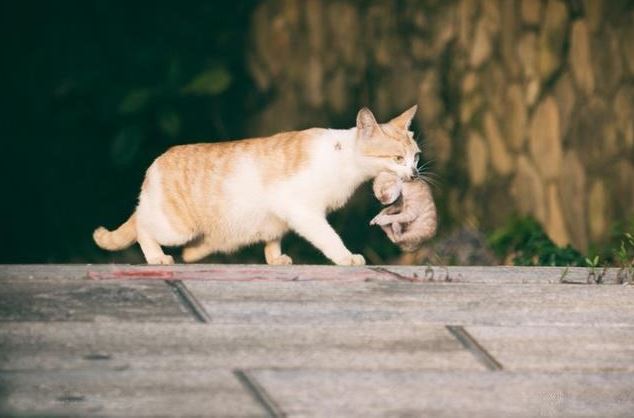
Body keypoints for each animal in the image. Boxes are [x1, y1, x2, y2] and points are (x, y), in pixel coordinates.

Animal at [94, 106, 420, 266]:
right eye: (397, 158)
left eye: (416, 156)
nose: (415, 173)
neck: (343, 159)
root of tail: (156, 163)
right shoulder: (302, 210)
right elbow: (329, 238)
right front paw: (346, 257)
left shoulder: (279, 216)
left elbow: (274, 237)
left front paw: (275, 259)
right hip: (175, 226)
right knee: (142, 226)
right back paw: (157, 257)